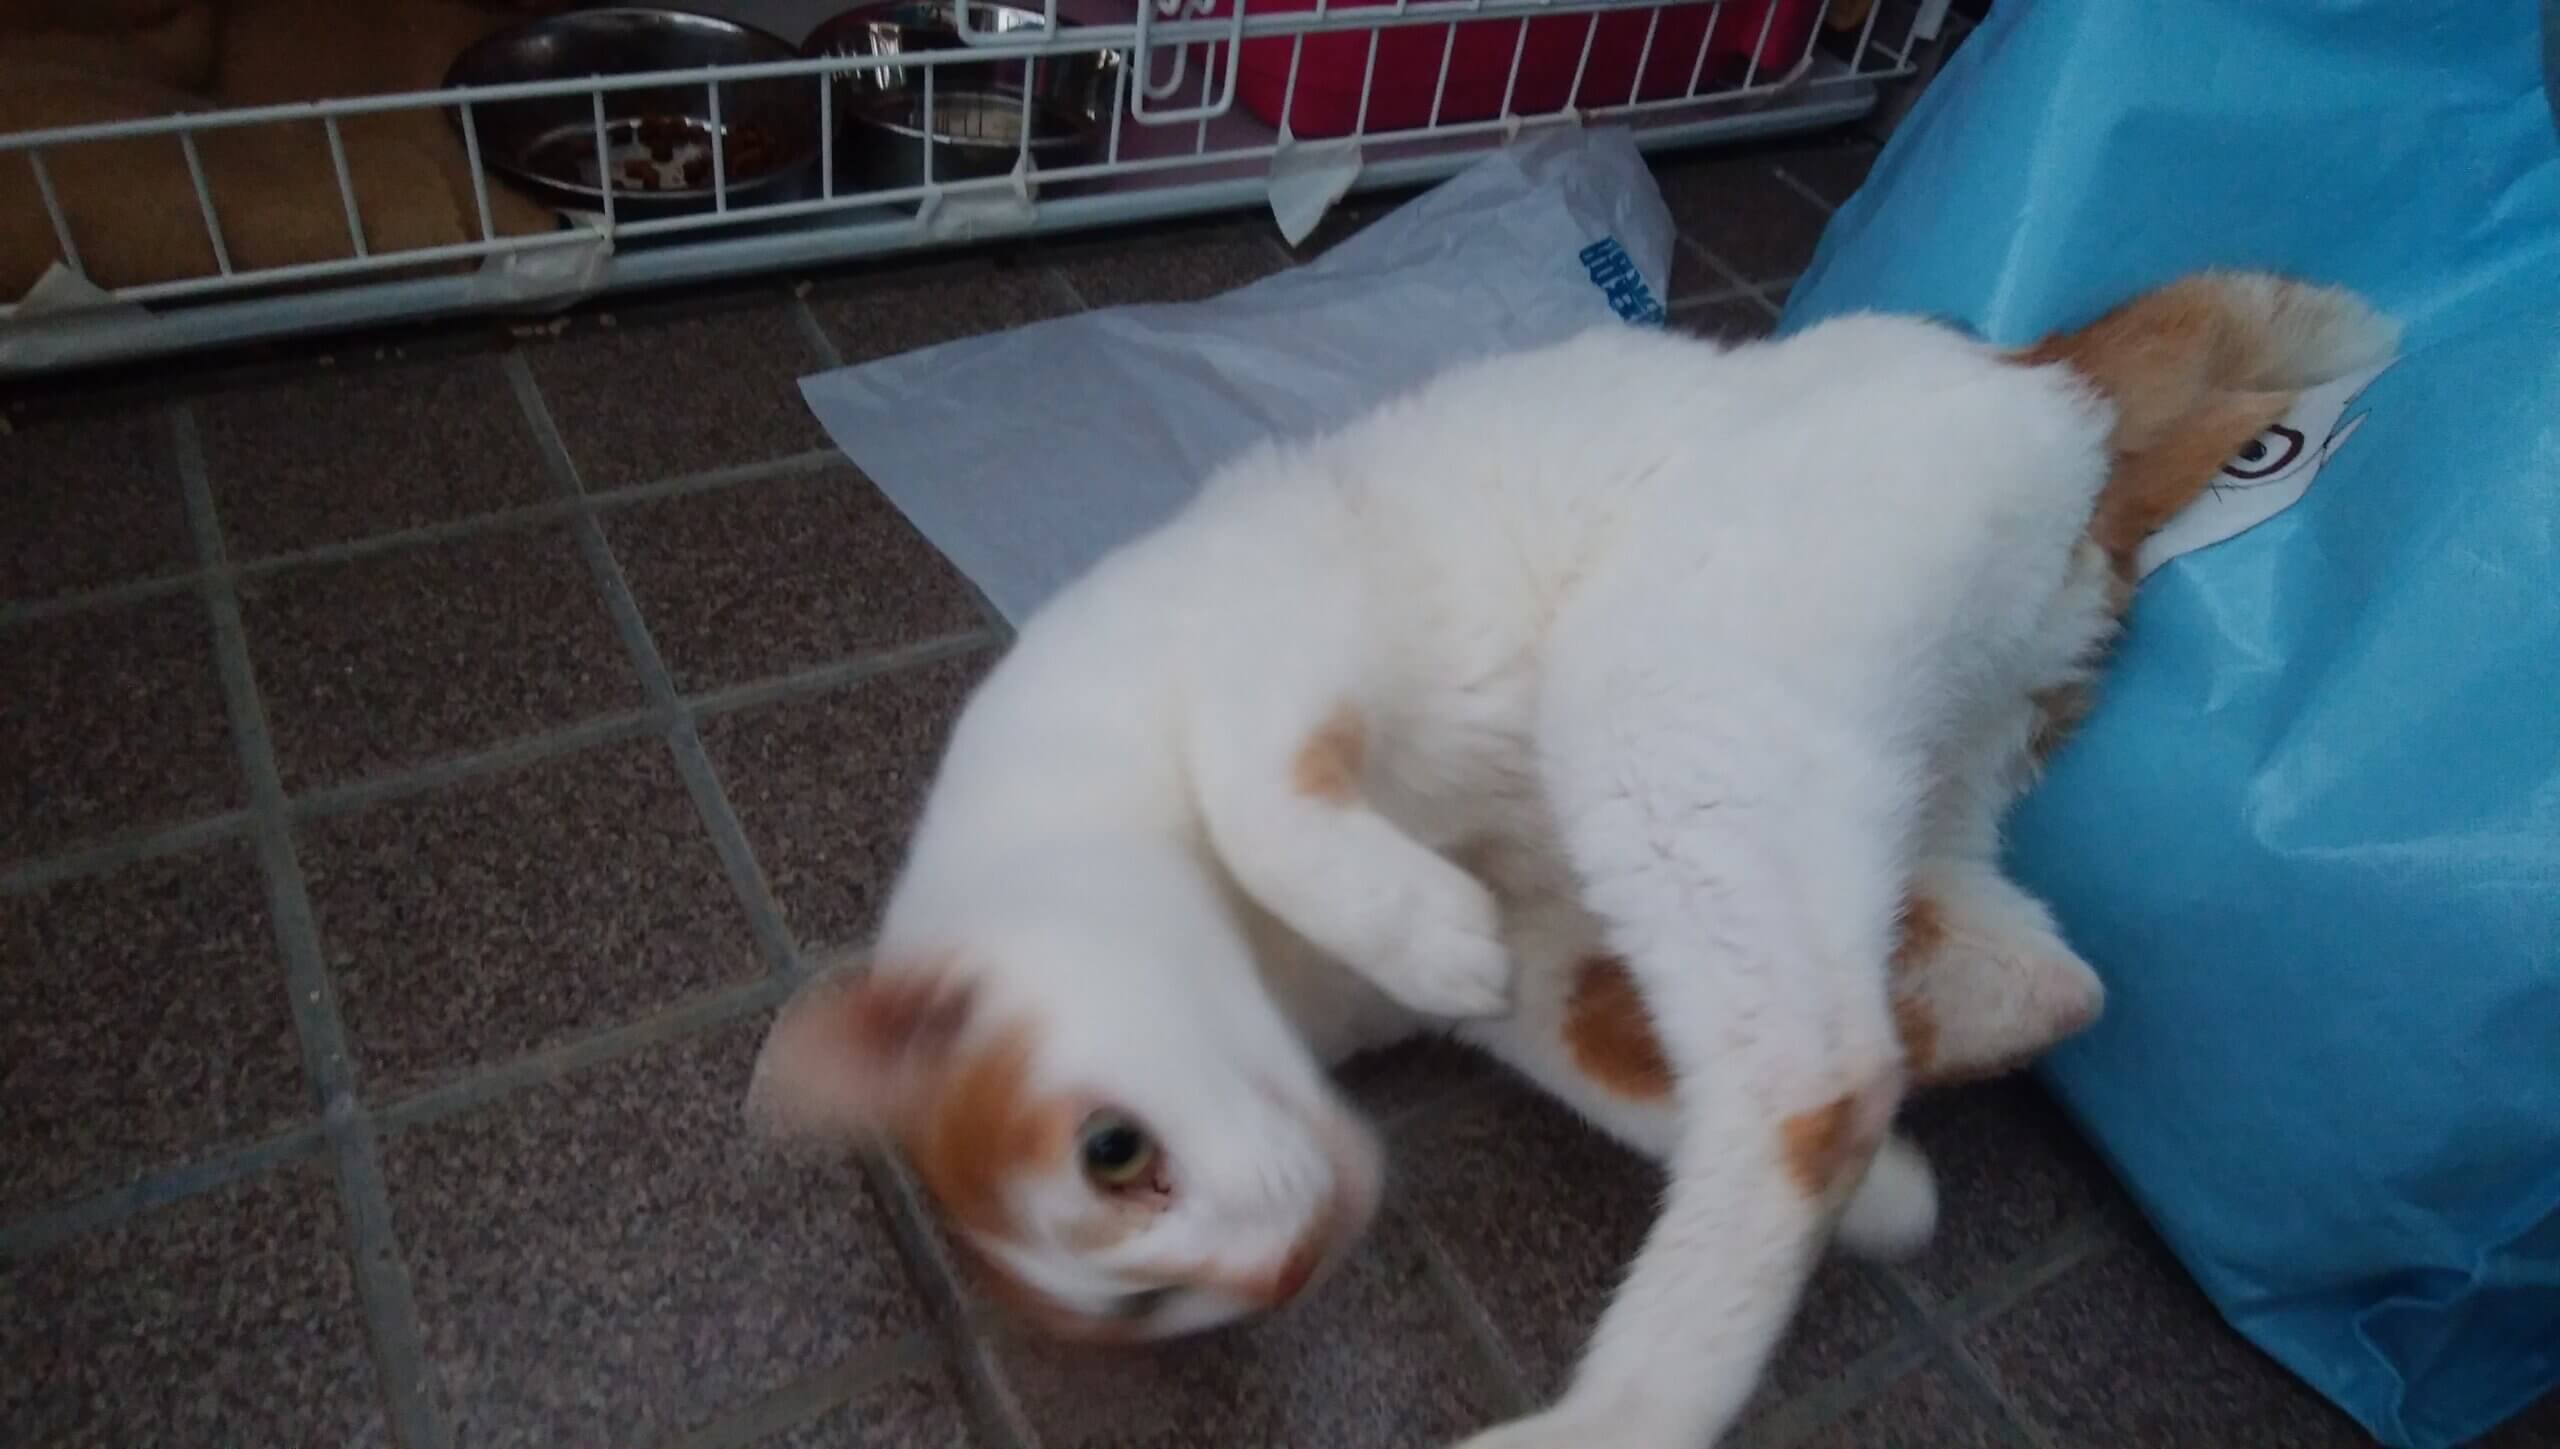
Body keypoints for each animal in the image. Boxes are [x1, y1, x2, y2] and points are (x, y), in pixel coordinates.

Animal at [748, 271, 2394, 1447]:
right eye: (1154, 1310)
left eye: (1113, 1152)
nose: (1283, 1273)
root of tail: (2036, 373)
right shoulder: (1542, 968)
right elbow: (1632, 1078)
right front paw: (1892, 1204)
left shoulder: (1280, 616)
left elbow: (1262, 796)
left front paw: (1403, 915)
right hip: (1863, 802)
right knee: (2017, 995)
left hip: (1655, 702)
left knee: (1817, 1080)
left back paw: (1610, 1419)